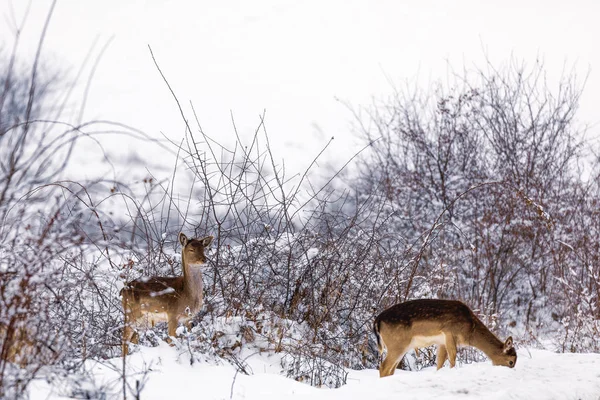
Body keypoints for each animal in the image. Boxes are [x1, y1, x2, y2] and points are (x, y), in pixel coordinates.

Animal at [370, 298, 516, 376]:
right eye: (511, 361)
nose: (511, 370)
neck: (470, 330)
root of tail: (377, 321)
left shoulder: (441, 342)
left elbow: (440, 362)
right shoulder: (450, 333)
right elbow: (453, 358)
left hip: (399, 347)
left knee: (390, 370)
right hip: (397, 344)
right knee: (384, 368)